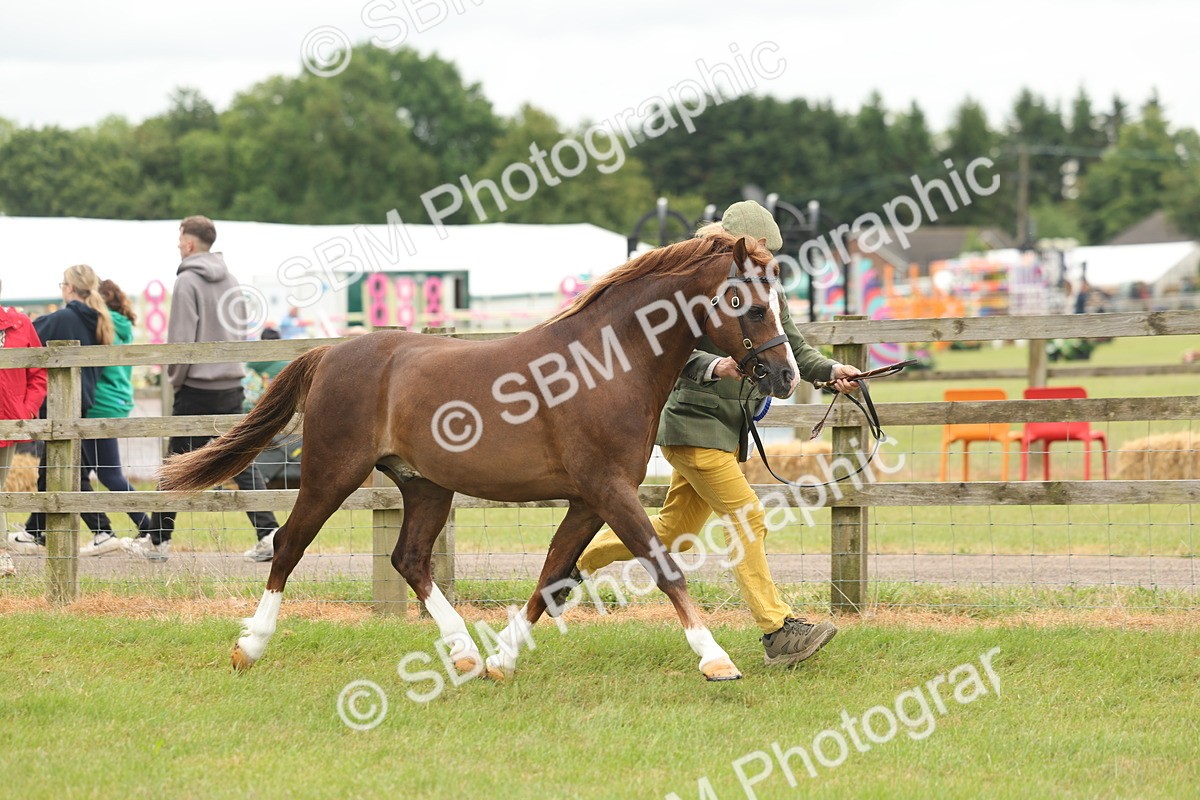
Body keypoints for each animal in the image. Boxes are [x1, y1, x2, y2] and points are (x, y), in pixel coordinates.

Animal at [159, 232, 803, 682]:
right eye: (748, 303)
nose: (786, 376)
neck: (606, 363)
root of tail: (331, 354)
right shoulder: (608, 489)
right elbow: (661, 565)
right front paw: (715, 658)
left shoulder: (588, 499)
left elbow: (553, 571)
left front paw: (502, 660)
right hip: (331, 473)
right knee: (290, 544)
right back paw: (249, 647)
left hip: (426, 485)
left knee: (409, 559)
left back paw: (466, 652)